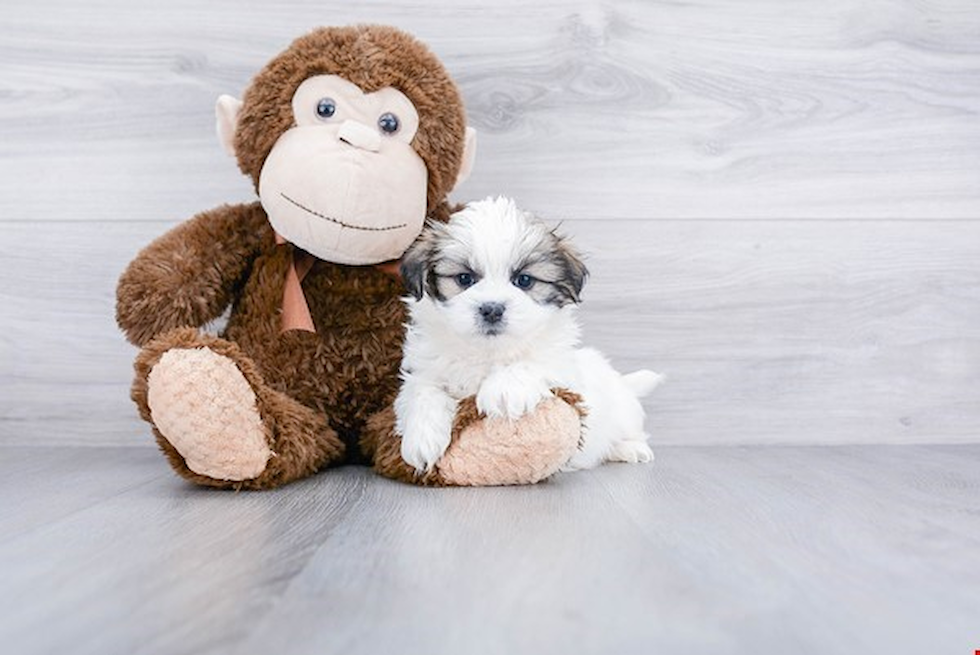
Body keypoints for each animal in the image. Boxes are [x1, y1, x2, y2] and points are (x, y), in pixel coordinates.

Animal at [394, 197, 664, 474]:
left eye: (524, 280)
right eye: (464, 278)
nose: (492, 309)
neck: (488, 353)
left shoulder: (562, 368)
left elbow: (534, 362)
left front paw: (502, 390)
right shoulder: (423, 372)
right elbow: (423, 392)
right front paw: (422, 439)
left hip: (625, 414)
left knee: (630, 433)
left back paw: (629, 448)